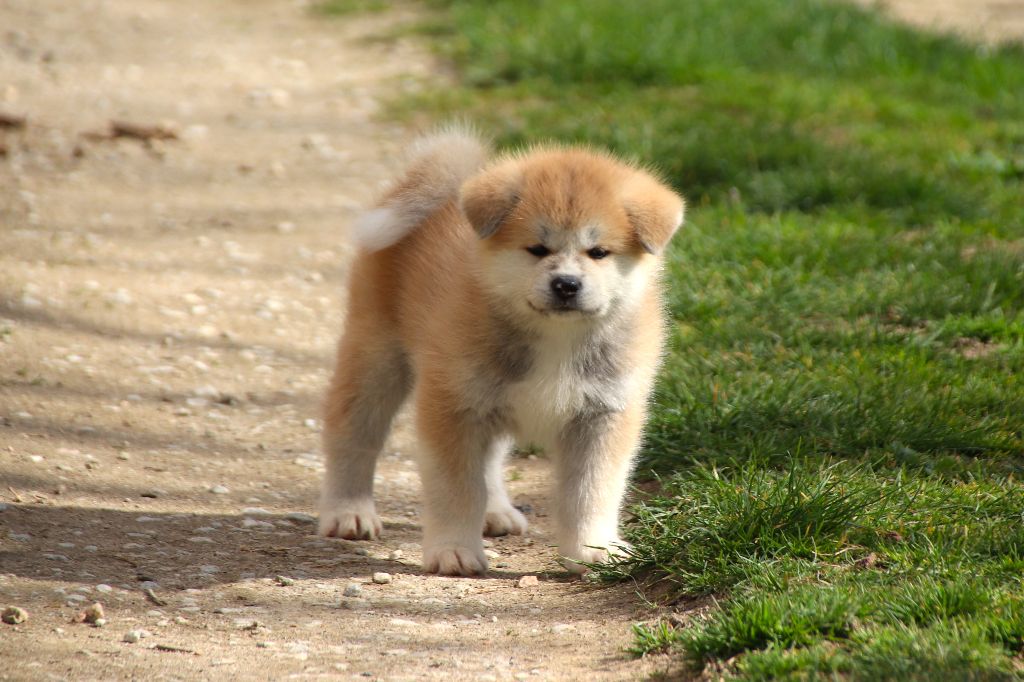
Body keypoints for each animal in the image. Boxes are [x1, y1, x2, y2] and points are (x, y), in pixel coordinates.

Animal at [317, 129, 688, 573]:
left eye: (598, 252)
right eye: (537, 249)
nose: (566, 285)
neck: (556, 337)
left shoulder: (602, 417)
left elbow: (591, 492)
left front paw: (593, 550)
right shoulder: (452, 406)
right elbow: (458, 489)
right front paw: (454, 550)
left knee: (490, 462)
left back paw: (495, 512)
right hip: (377, 359)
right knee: (353, 434)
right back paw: (348, 511)